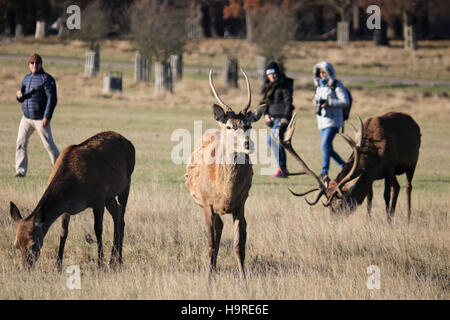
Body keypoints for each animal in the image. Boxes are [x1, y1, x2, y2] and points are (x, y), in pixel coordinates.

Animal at [9, 131, 134, 268]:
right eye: (16, 245)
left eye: (33, 244)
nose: (26, 267)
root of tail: (129, 142)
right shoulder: (66, 208)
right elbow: (63, 232)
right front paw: (57, 266)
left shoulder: (99, 197)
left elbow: (98, 229)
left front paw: (100, 264)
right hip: (110, 196)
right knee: (116, 216)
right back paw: (112, 260)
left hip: (126, 184)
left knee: (121, 219)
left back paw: (119, 260)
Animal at [185, 69, 266, 278]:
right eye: (230, 126)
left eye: (249, 125)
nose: (247, 144)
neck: (225, 192)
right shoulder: (206, 203)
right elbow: (211, 244)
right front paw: (208, 277)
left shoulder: (241, 204)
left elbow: (239, 246)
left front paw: (243, 278)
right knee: (217, 231)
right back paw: (212, 269)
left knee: (227, 229)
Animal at [284, 113, 420, 225]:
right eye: (327, 205)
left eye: (340, 204)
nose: (332, 223)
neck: (375, 156)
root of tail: (414, 123)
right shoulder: (370, 176)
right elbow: (369, 196)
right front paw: (368, 220)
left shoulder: (389, 168)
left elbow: (385, 195)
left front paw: (388, 222)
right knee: (397, 187)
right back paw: (393, 213)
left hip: (412, 163)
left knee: (408, 187)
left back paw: (407, 218)